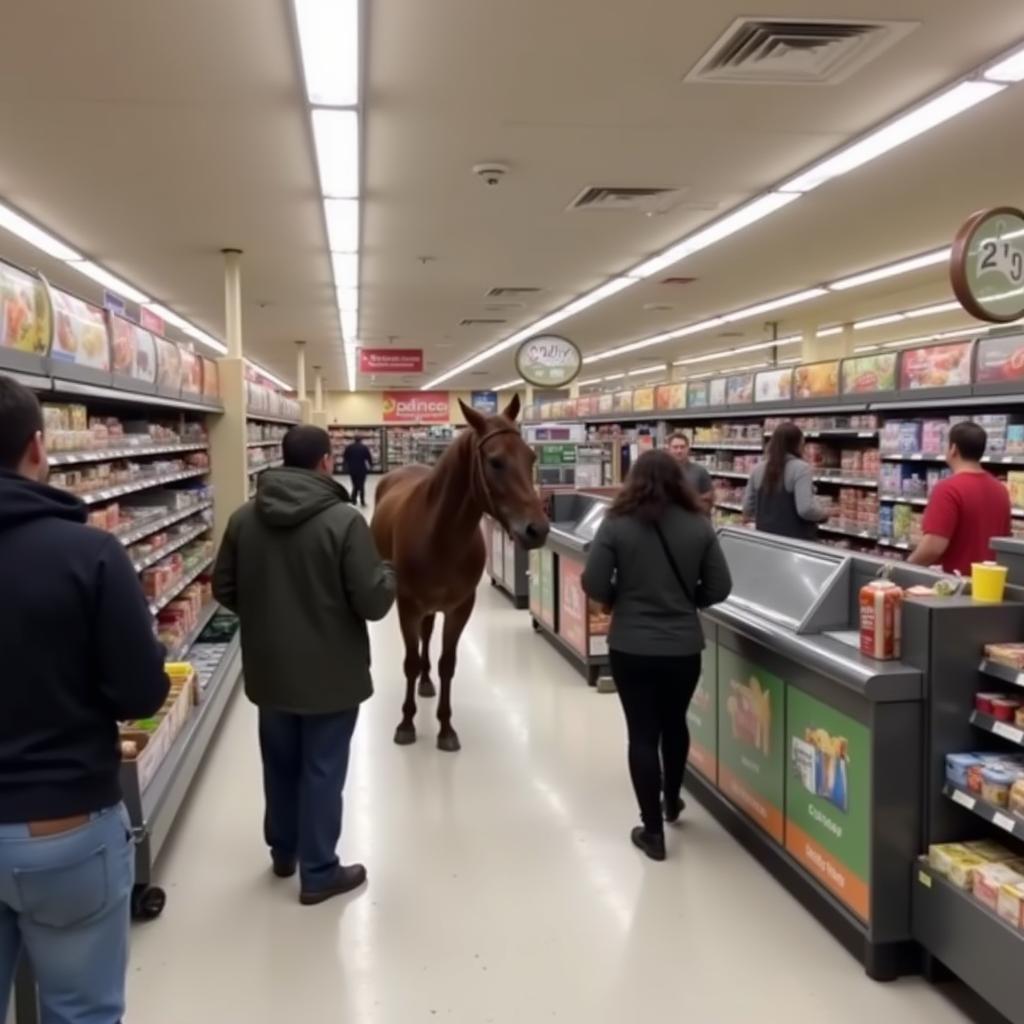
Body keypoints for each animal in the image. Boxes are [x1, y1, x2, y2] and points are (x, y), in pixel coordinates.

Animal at [370, 395, 548, 749]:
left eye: (531, 457)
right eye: (495, 462)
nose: (538, 530)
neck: (441, 534)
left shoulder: (460, 607)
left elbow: (447, 664)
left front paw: (446, 727)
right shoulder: (407, 606)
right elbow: (409, 662)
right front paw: (406, 723)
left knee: (427, 638)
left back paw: (427, 683)